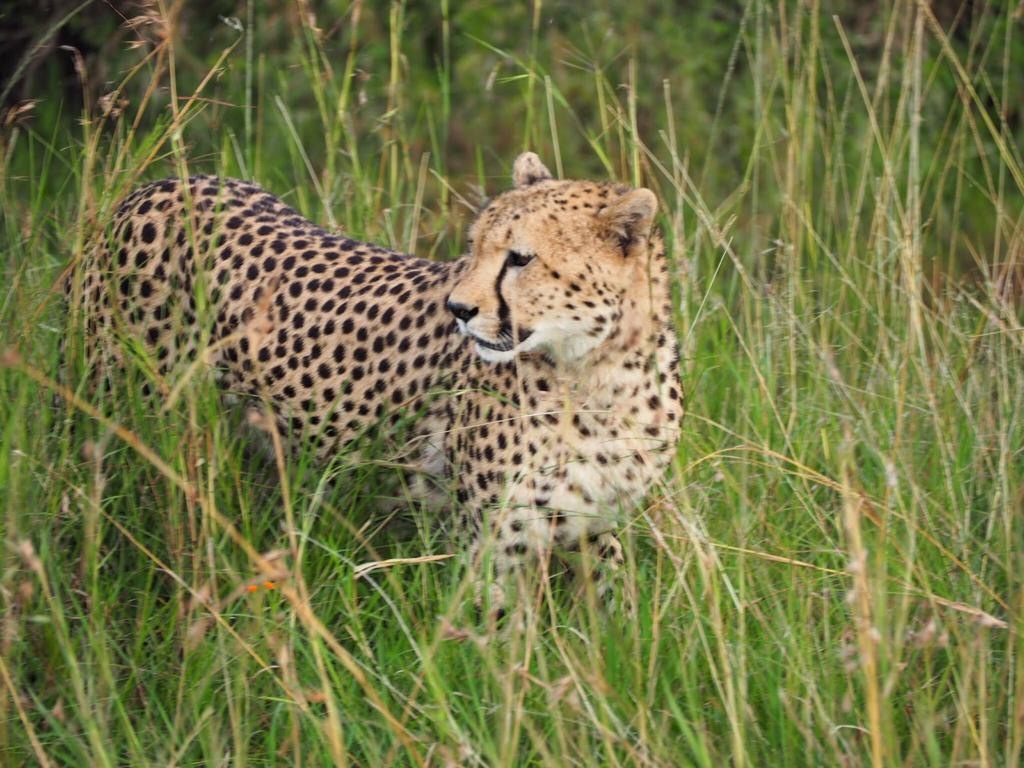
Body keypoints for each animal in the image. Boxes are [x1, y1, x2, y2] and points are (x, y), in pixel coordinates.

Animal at [72, 153, 679, 618]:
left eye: (521, 259)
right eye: (476, 247)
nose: (458, 309)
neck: (598, 373)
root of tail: (162, 181)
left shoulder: (596, 524)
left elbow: (614, 619)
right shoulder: (490, 544)